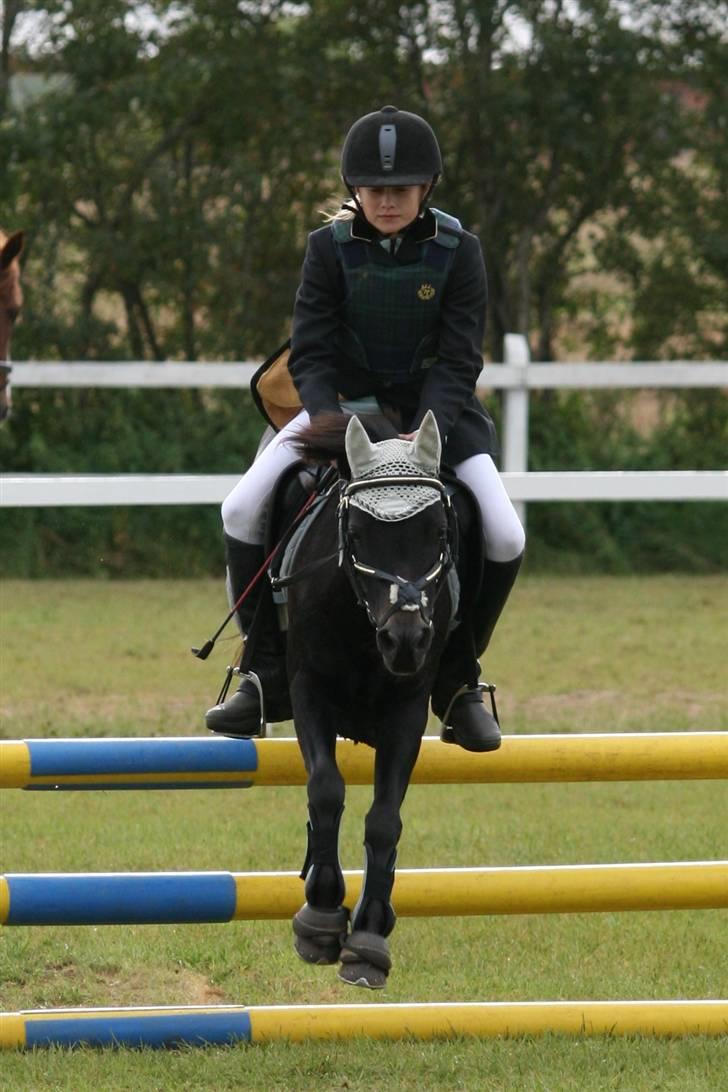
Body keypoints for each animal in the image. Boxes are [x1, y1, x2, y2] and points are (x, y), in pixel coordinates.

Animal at [278, 409, 463, 989]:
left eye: (439, 532)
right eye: (358, 535)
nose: (405, 640)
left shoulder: (407, 708)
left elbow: (385, 819)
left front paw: (369, 935)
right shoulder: (309, 689)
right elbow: (326, 789)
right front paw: (320, 913)